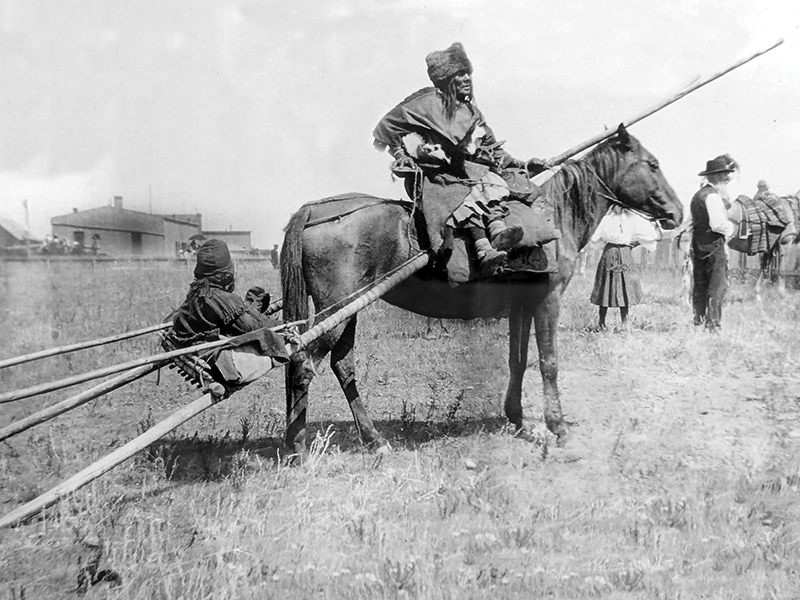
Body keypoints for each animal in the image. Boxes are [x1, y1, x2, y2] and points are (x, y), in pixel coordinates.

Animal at [279, 125, 683, 454]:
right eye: (652, 164)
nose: (677, 213)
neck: (553, 215)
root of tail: (315, 211)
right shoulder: (548, 300)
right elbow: (549, 363)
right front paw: (558, 427)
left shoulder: (522, 305)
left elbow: (518, 360)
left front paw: (517, 417)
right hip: (335, 314)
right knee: (303, 363)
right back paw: (297, 446)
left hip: (348, 312)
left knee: (340, 364)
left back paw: (372, 439)